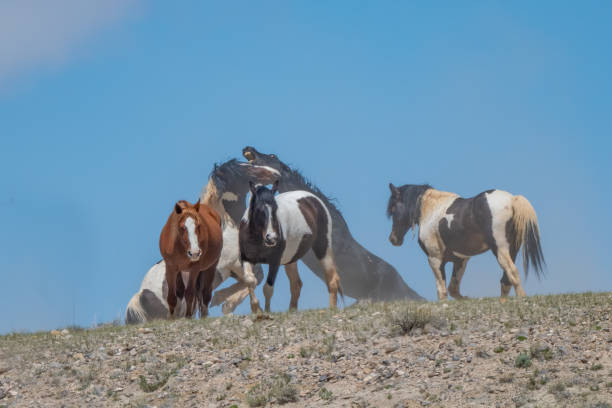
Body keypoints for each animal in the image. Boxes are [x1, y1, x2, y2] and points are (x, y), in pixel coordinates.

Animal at [240, 182, 344, 312]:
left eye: (276, 209)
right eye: (258, 210)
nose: (272, 238)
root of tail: (314, 199)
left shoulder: (275, 262)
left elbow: (268, 288)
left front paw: (266, 312)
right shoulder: (246, 259)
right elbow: (250, 280)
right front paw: (257, 310)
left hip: (323, 248)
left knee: (332, 280)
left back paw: (331, 309)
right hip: (291, 259)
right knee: (296, 284)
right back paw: (292, 311)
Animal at [388, 183, 544, 302]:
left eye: (393, 208)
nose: (393, 239)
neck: (431, 210)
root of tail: (512, 199)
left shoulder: (435, 259)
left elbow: (442, 291)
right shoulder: (460, 260)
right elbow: (453, 289)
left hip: (500, 249)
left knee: (512, 272)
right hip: (512, 249)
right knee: (506, 279)